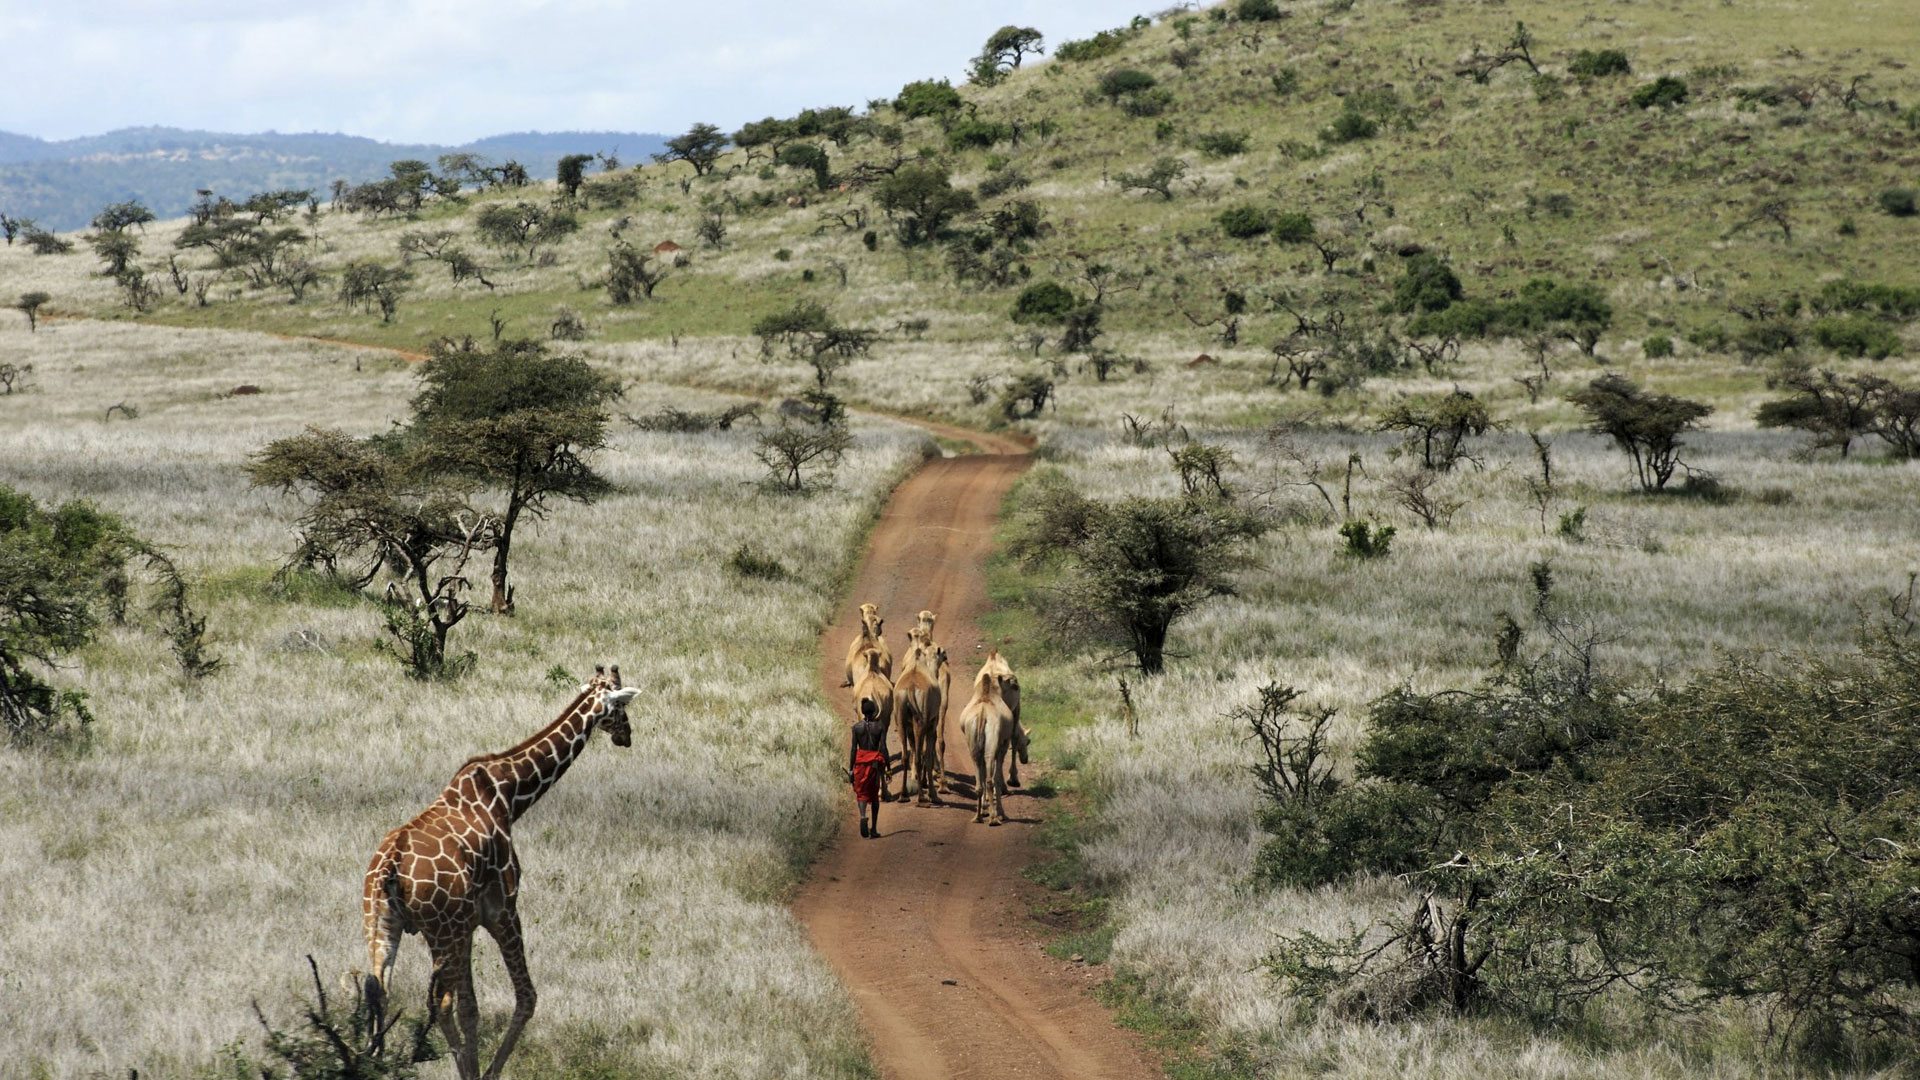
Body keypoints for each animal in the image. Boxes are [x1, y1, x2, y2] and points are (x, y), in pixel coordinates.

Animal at [361, 664, 640, 1080]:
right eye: (621, 706)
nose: (627, 736)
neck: (509, 795)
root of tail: (390, 866)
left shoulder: (469, 922)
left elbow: (472, 1009)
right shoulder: (501, 909)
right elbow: (525, 997)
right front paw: (483, 1073)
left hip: (383, 926)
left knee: (377, 988)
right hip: (441, 931)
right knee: (440, 1002)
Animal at [960, 651, 1029, 825]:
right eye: (1028, 742)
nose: (1026, 759)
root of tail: (983, 714)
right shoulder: (1004, 740)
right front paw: (1011, 782)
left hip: (975, 747)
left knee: (981, 780)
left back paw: (979, 816)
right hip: (993, 743)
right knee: (991, 779)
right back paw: (993, 817)